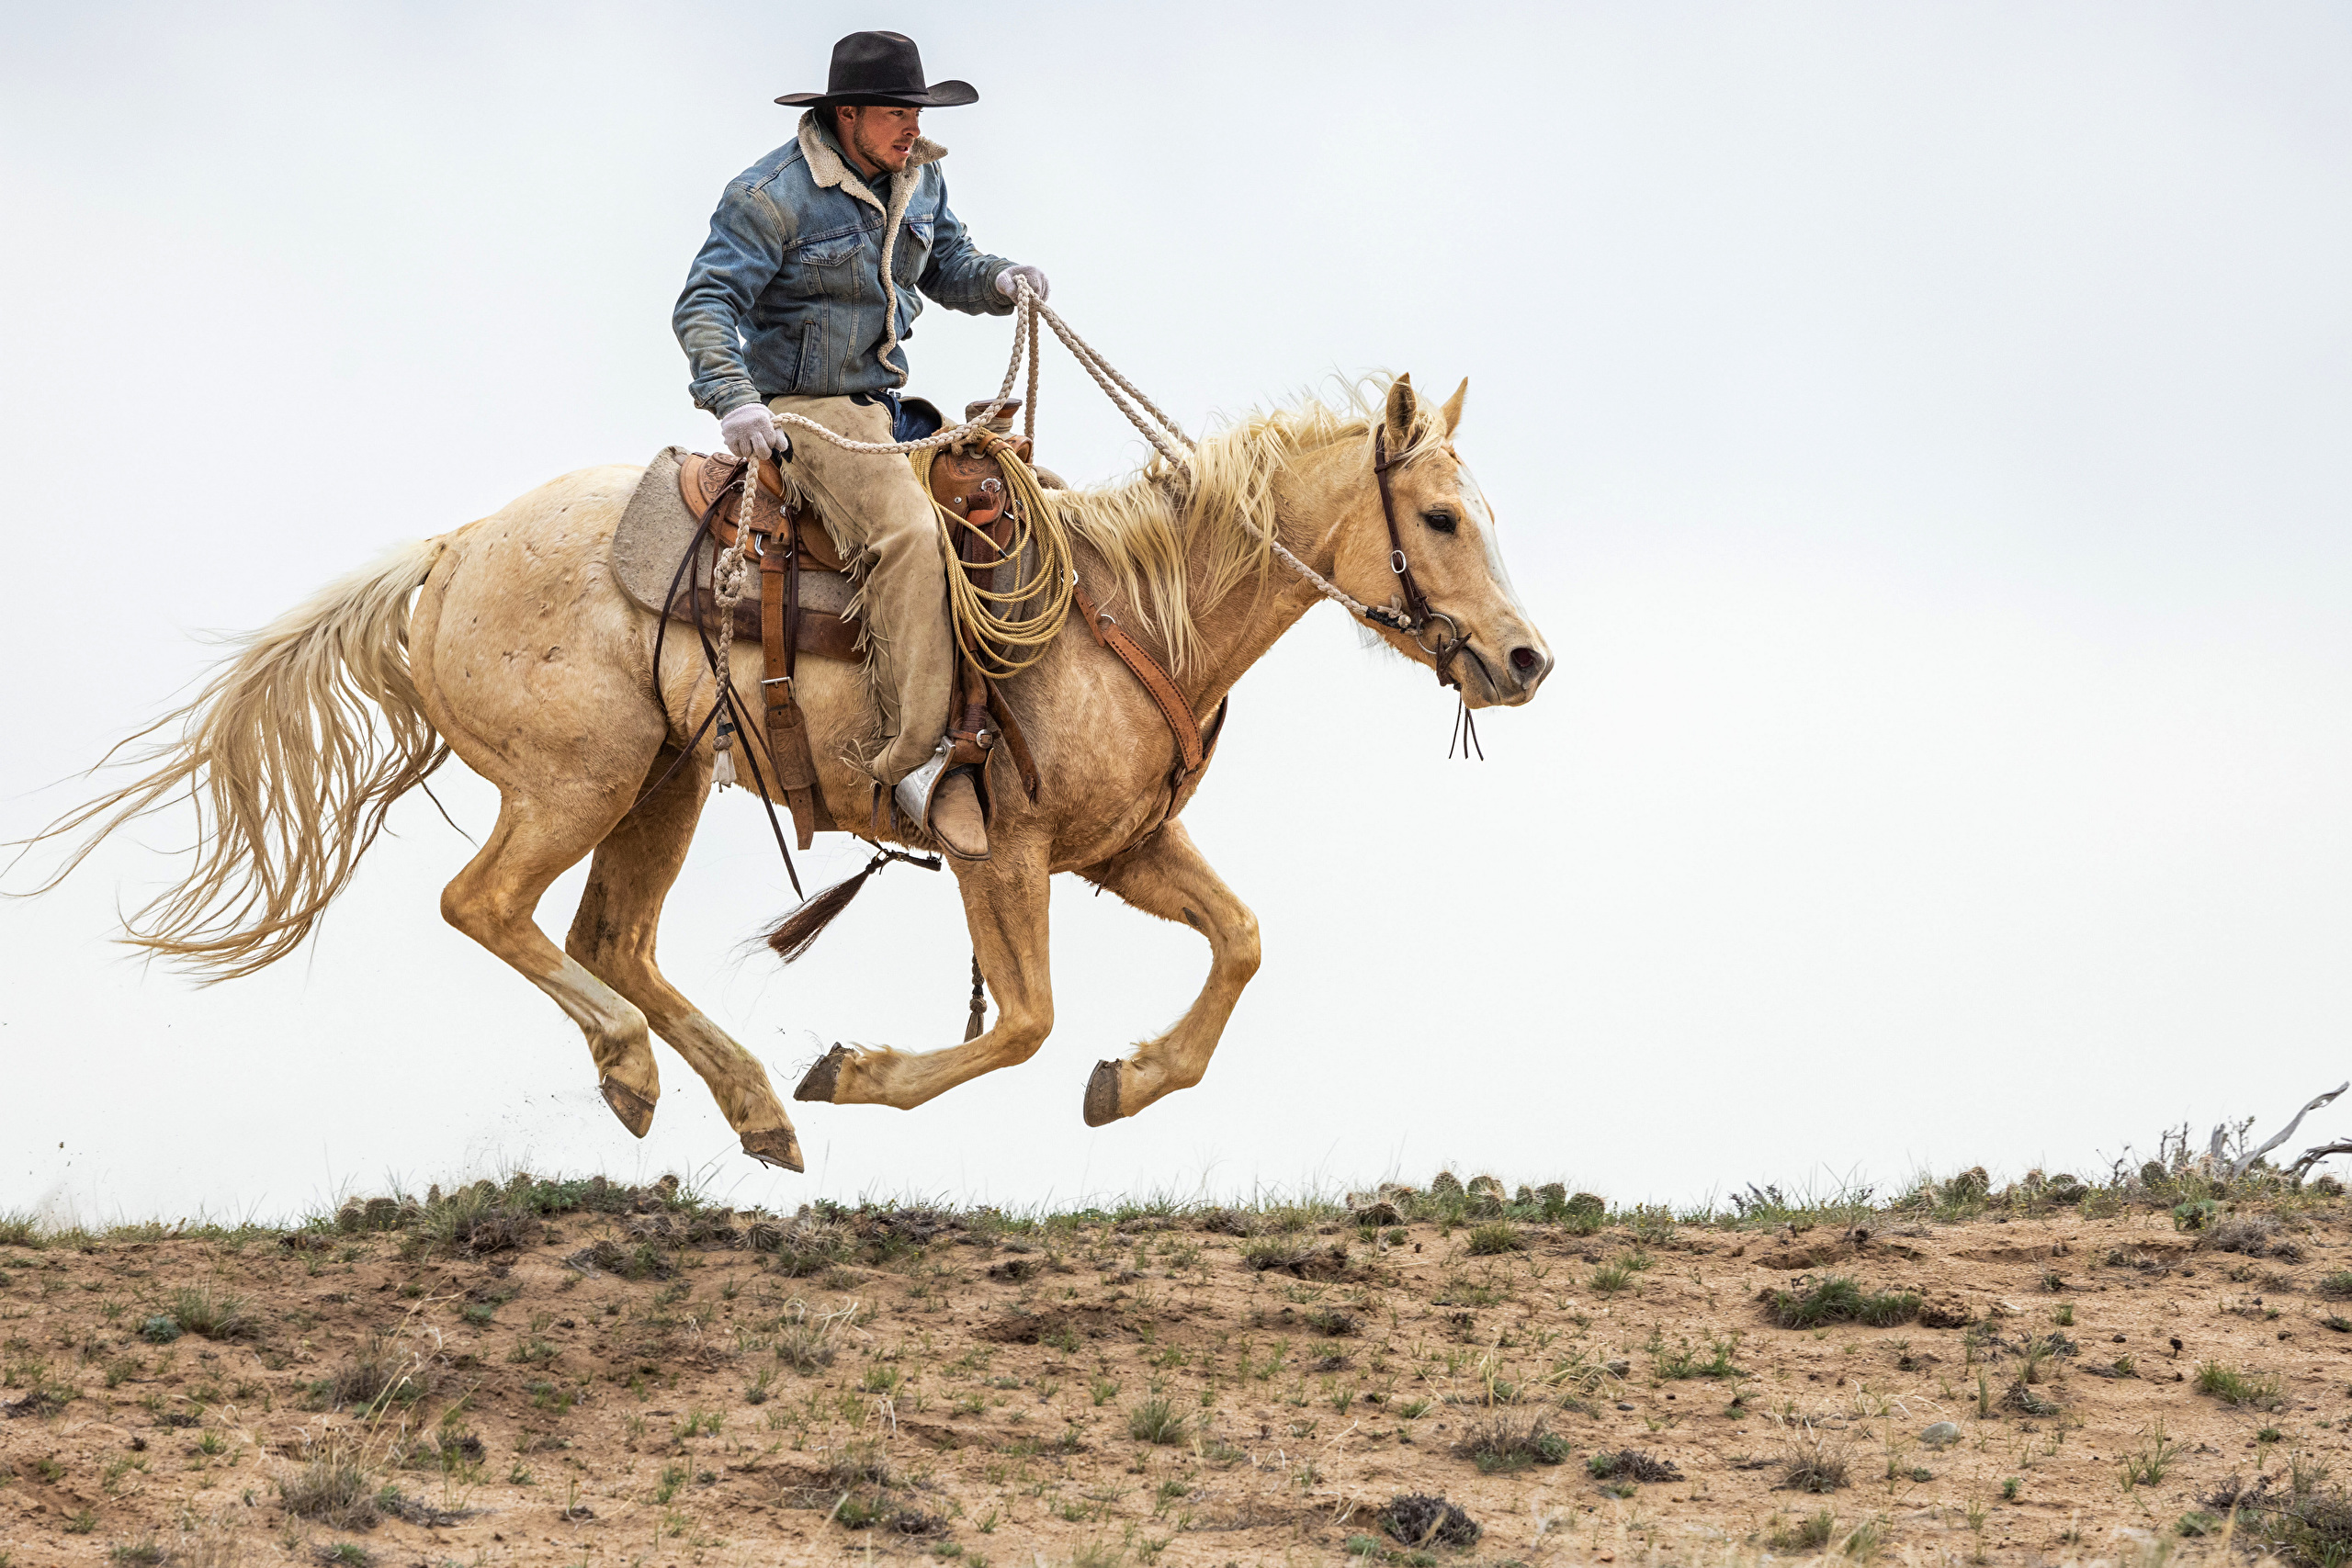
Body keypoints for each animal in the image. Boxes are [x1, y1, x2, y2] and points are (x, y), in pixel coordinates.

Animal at [32, 373, 1561, 1170]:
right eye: (1438, 516)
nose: (1526, 657)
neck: (1132, 604)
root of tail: (455, 548)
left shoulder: (1124, 847)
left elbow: (1239, 942)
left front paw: (1132, 1080)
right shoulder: (998, 847)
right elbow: (1024, 1021)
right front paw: (861, 1070)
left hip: (666, 783)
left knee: (612, 934)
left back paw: (748, 1105)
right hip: (579, 781)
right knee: (493, 907)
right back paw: (643, 1071)